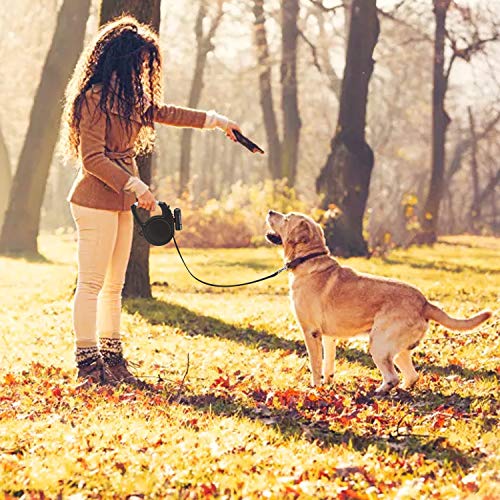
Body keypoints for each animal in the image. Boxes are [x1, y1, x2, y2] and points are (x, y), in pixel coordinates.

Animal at [266, 209, 492, 392]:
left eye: (286, 218)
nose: (270, 211)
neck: (309, 259)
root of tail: (424, 302)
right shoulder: (329, 336)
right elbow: (328, 364)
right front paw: (327, 383)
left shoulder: (311, 331)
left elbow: (314, 363)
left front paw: (314, 388)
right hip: (396, 349)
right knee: (411, 376)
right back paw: (401, 390)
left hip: (379, 344)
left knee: (392, 377)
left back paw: (378, 392)